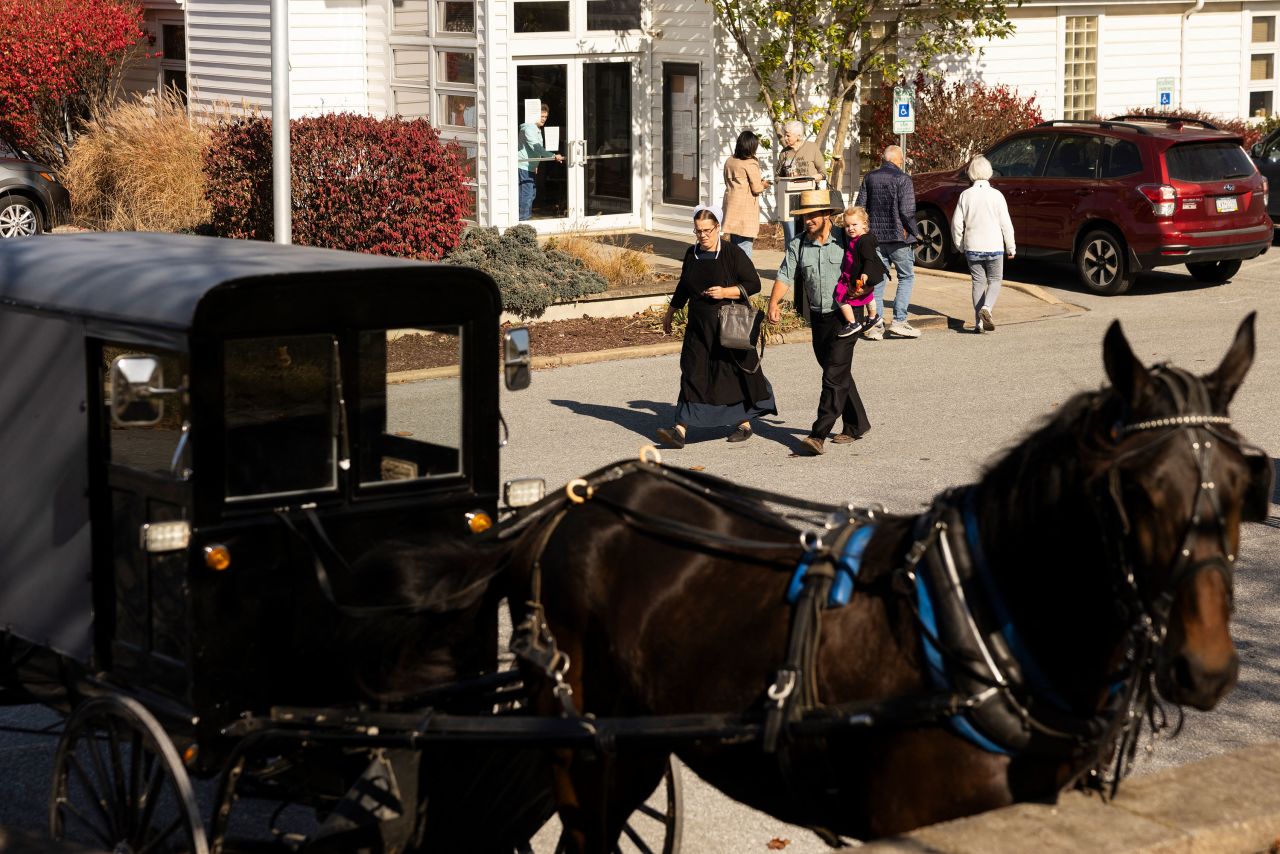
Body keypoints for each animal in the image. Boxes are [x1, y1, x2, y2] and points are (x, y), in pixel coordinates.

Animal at [491, 317, 1269, 850]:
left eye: (1242, 483)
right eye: (1138, 490)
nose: (1205, 668)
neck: (982, 634)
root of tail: (570, 502)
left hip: (636, 745)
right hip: (583, 751)